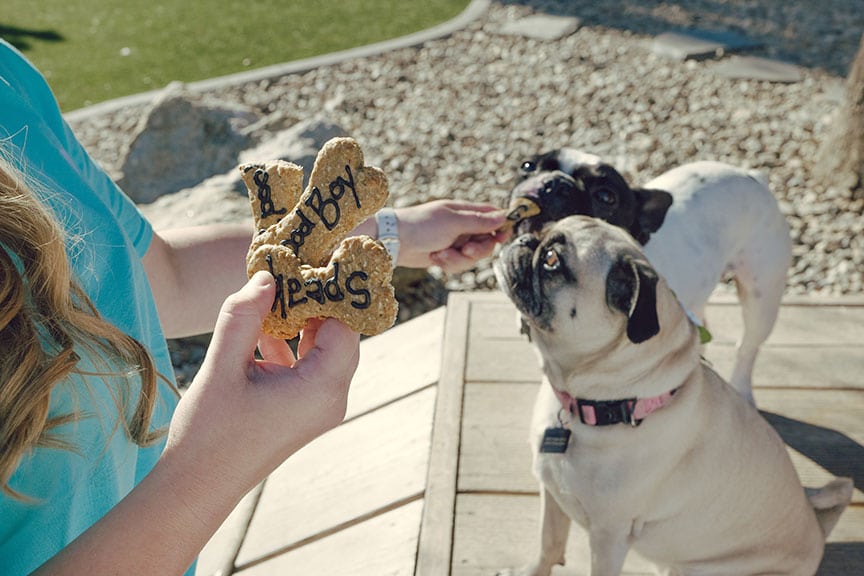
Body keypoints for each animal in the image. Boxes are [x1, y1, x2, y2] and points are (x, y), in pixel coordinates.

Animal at [492, 216, 852, 576]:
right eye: (541, 230)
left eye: (552, 260)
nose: (525, 239)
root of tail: (817, 532)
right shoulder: (552, 492)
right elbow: (548, 543)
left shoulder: (609, 534)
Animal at [506, 153, 796, 404]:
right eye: (528, 165)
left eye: (606, 196)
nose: (554, 183)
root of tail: (753, 176)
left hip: (762, 298)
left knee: (747, 347)